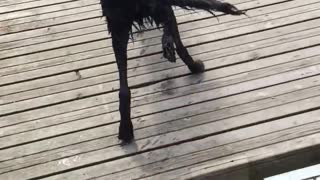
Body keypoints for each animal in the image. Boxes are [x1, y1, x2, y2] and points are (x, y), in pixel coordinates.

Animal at [100, 0, 245, 143]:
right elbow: (178, 42)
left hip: (117, 26)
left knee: (124, 90)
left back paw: (125, 130)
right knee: (170, 29)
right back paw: (192, 64)